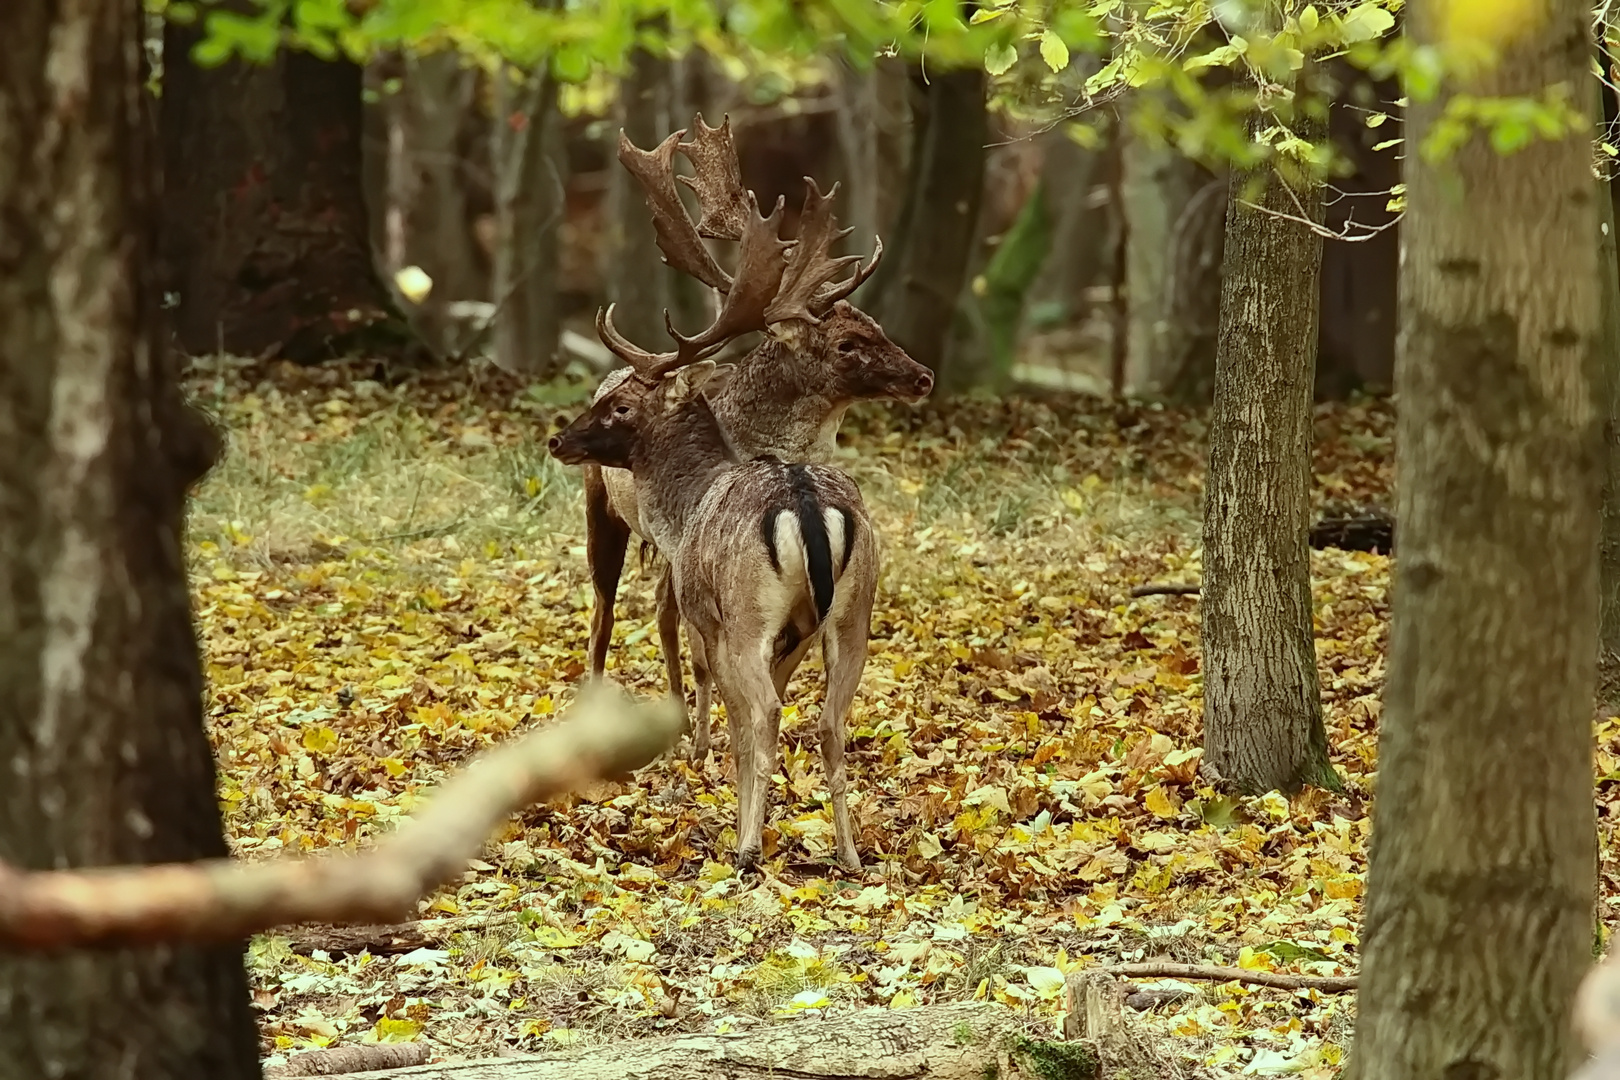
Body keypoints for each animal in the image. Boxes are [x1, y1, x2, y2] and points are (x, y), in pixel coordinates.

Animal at [586, 114, 939, 757]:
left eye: (875, 323)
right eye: (846, 344)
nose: (922, 376)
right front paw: (706, 742)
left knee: (660, 615)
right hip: (603, 510)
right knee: (610, 614)